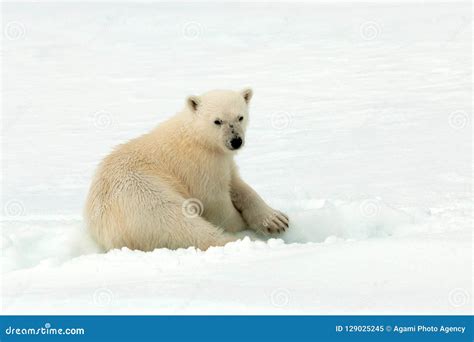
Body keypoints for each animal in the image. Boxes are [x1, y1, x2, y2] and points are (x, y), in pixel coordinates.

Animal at [85, 88, 288, 251]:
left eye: (240, 117)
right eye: (217, 121)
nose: (235, 141)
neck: (197, 137)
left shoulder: (222, 161)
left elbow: (237, 184)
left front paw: (275, 220)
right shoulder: (199, 166)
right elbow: (216, 202)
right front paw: (242, 223)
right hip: (145, 196)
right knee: (182, 225)